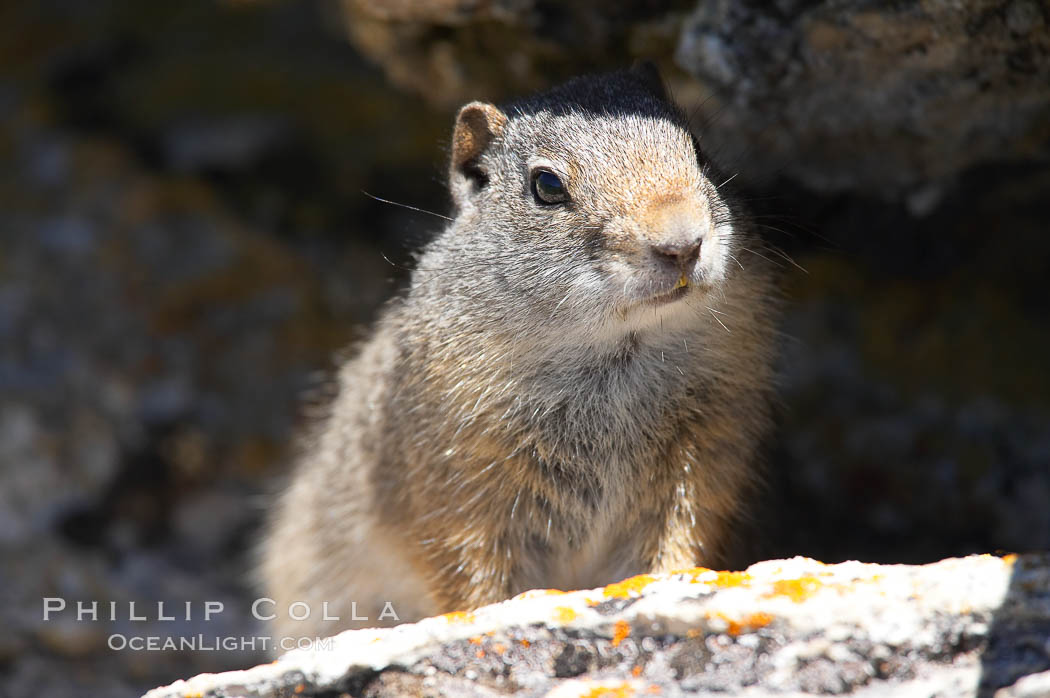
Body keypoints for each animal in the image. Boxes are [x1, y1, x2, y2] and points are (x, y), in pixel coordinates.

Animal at [259, 65, 776, 642]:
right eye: (546, 186)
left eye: (699, 150)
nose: (683, 244)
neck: (616, 355)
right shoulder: (461, 489)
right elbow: (474, 580)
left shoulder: (705, 455)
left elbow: (677, 545)